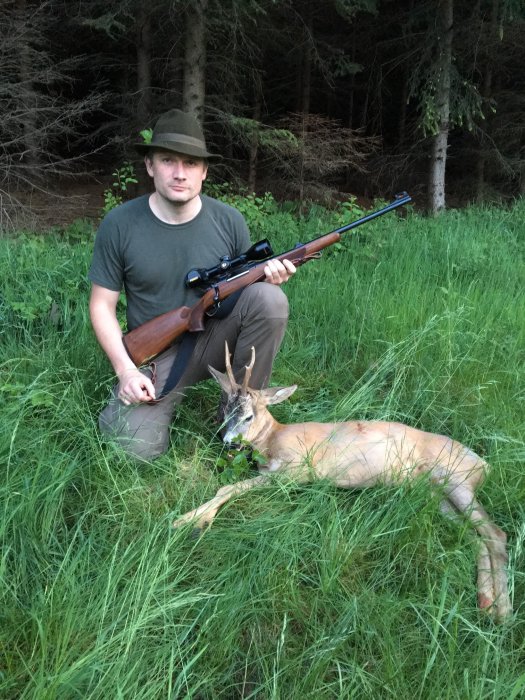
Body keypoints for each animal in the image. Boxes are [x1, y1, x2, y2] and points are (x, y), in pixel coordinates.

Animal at [172, 343, 512, 623]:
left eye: (249, 416)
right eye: (226, 410)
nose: (227, 441)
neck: (272, 440)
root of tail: (484, 465)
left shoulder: (295, 470)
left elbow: (229, 487)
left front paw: (189, 521)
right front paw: (193, 519)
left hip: (455, 478)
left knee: (496, 533)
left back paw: (504, 612)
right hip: (434, 494)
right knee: (474, 536)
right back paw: (486, 602)